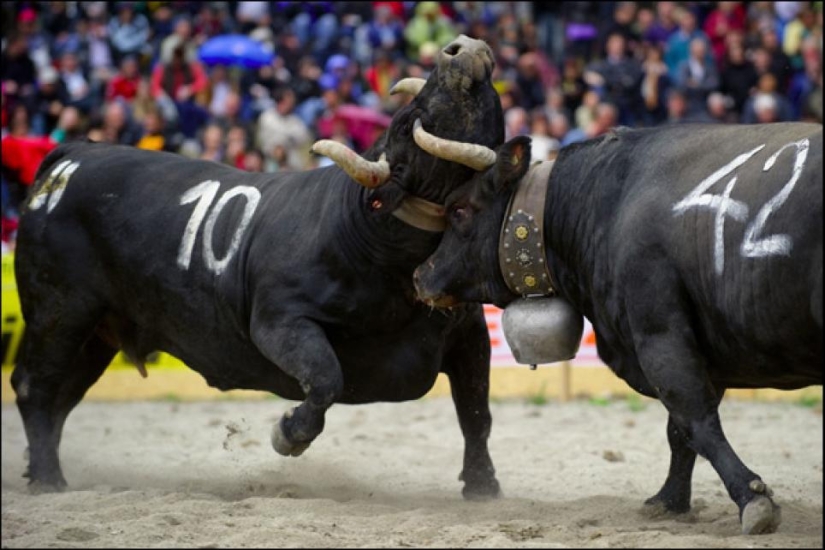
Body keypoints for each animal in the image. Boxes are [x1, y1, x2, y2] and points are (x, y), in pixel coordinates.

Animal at [11, 35, 507, 499]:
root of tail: (72, 156)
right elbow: (326, 378)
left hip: (98, 331)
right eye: (408, 122)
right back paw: (48, 479)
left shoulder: (468, 332)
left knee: (62, 397)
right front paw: (287, 433)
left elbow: (477, 413)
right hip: (61, 310)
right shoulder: (279, 320)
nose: (462, 47)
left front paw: (483, 487)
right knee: (34, 387)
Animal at [412, 122, 822, 534]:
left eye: (459, 209)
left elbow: (695, 419)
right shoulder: (702, 347)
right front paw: (669, 501)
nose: (421, 275)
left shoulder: (660, 335)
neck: (608, 200)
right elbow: (680, 431)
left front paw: (752, 498)